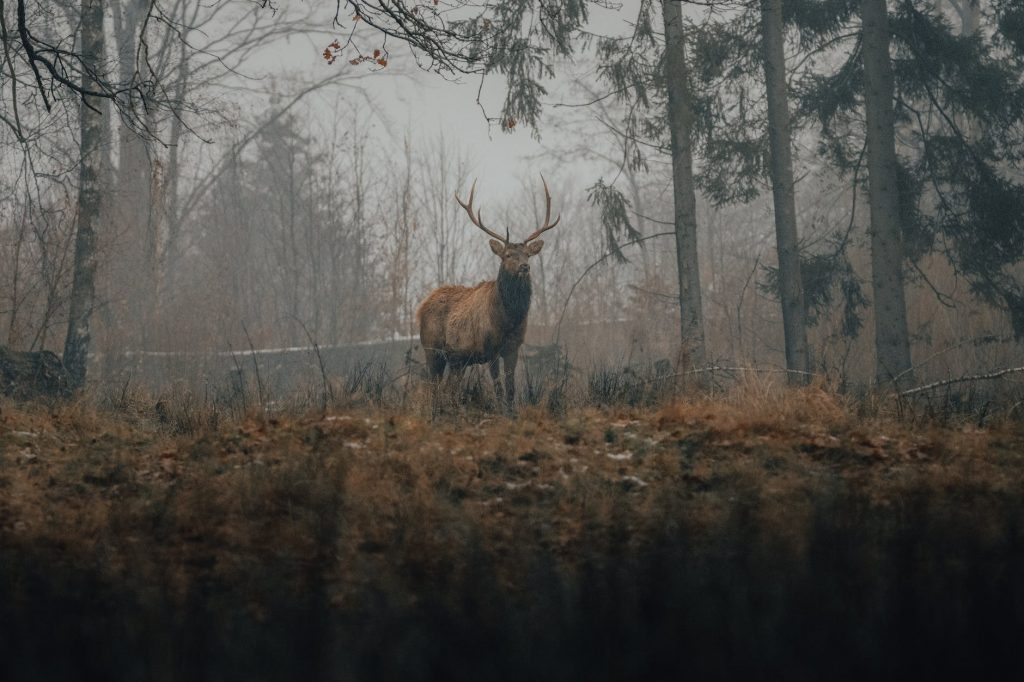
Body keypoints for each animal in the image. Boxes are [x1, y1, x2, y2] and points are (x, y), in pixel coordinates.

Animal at [417, 177, 561, 413]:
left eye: (527, 254)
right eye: (508, 255)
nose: (525, 267)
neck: (509, 320)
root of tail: (420, 307)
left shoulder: (513, 347)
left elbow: (511, 386)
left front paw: (512, 412)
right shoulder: (490, 347)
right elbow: (498, 386)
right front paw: (502, 412)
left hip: (458, 360)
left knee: (449, 388)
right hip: (432, 349)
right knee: (433, 386)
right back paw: (434, 412)